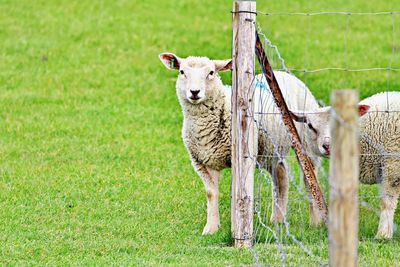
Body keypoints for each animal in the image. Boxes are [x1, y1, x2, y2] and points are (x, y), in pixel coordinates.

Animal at [158, 52, 324, 237]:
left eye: (211, 72)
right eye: (182, 72)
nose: (194, 92)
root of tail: (282, 74)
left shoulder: (241, 158)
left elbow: (239, 193)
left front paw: (238, 225)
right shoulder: (202, 161)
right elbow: (211, 193)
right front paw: (211, 228)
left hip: (305, 144)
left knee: (309, 179)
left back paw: (315, 221)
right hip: (270, 150)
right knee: (281, 177)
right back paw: (277, 219)